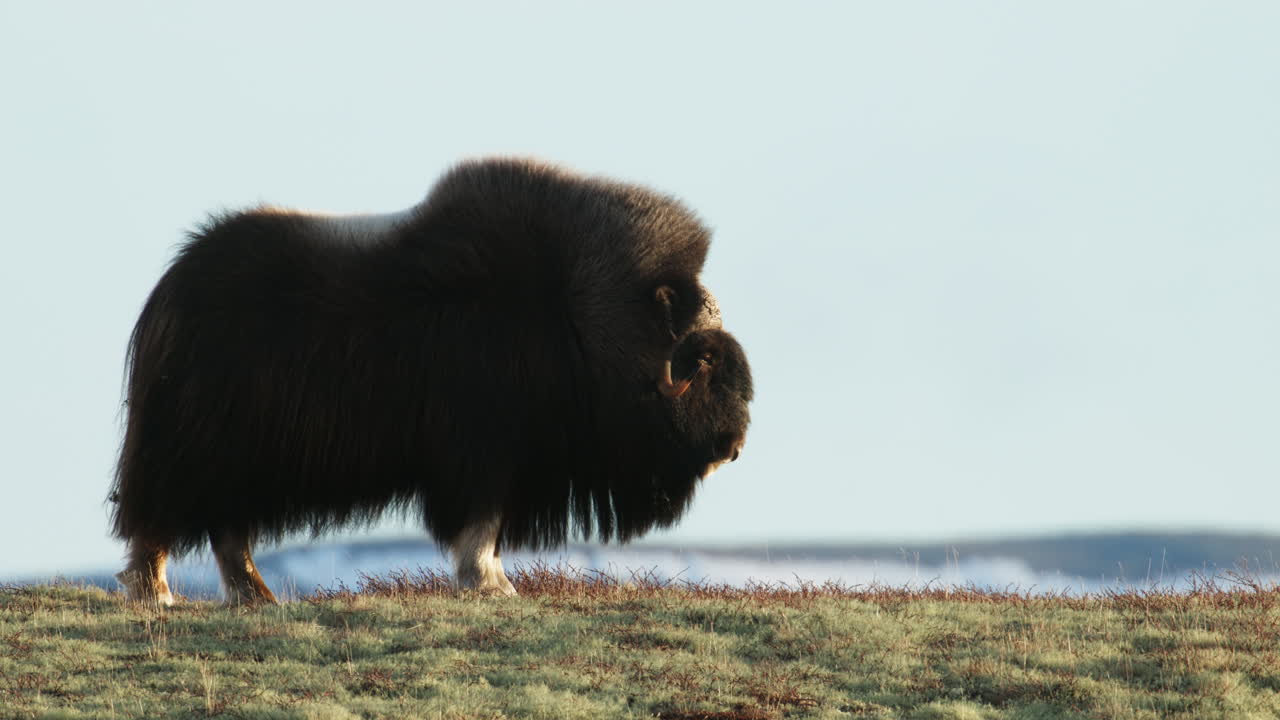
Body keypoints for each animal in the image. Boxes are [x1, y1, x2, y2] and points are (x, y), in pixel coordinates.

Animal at [110, 157, 753, 606]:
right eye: (705, 361)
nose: (735, 448)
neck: (582, 317)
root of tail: (171, 290)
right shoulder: (487, 451)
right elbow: (482, 521)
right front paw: (492, 584)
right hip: (197, 448)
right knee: (164, 518)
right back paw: (158, 593)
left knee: (224, 529)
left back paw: (255, 597)